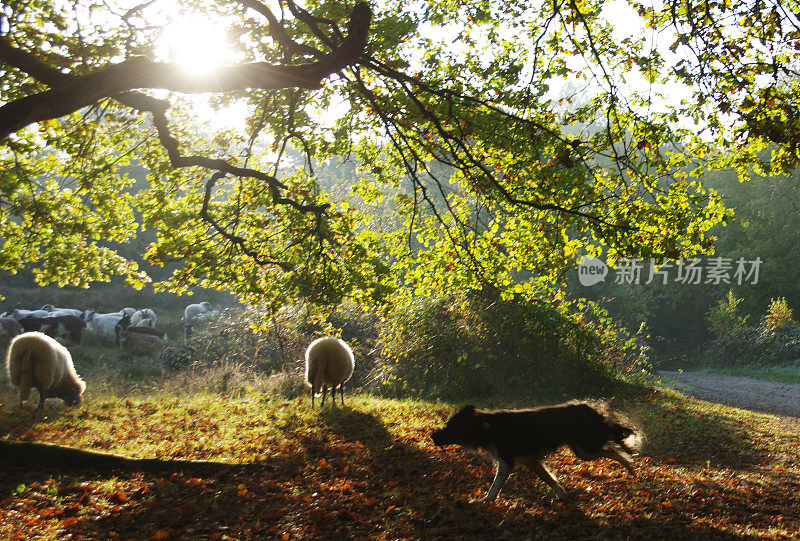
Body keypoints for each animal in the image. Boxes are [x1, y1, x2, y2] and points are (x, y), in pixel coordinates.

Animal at [432, 398, 644, 500]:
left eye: (451, 427)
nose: (433, 436)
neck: (487, 427)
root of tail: (591, 408)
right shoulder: (530, 460)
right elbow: (549, 479)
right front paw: (562, 495)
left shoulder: (508, 461)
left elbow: (495, 486)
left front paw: (485, 500)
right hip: (581, 449)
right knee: (611, 445)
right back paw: (630, 465)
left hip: (586, 448)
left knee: (614, 447)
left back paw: (629, 464)